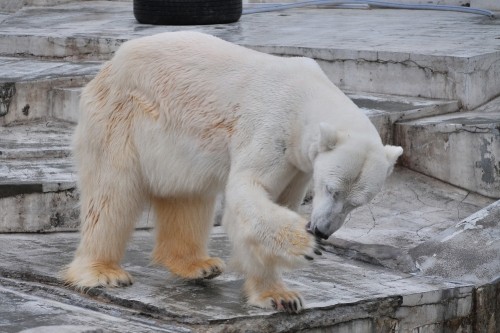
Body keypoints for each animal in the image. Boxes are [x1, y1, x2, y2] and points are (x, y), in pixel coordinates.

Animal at [64, 30, 404, 312]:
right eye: (330, 189)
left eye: (355, 204)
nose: (321, 230)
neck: (307, 95)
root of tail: (108, 67)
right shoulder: (273, 129)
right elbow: (247, 193)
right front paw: (304, 248)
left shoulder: (297, 163)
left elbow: (277, 202)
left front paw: (281, 295)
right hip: (121, 117)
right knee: (111, 194)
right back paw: (103, 272)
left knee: (187, 197)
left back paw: (198, 264)